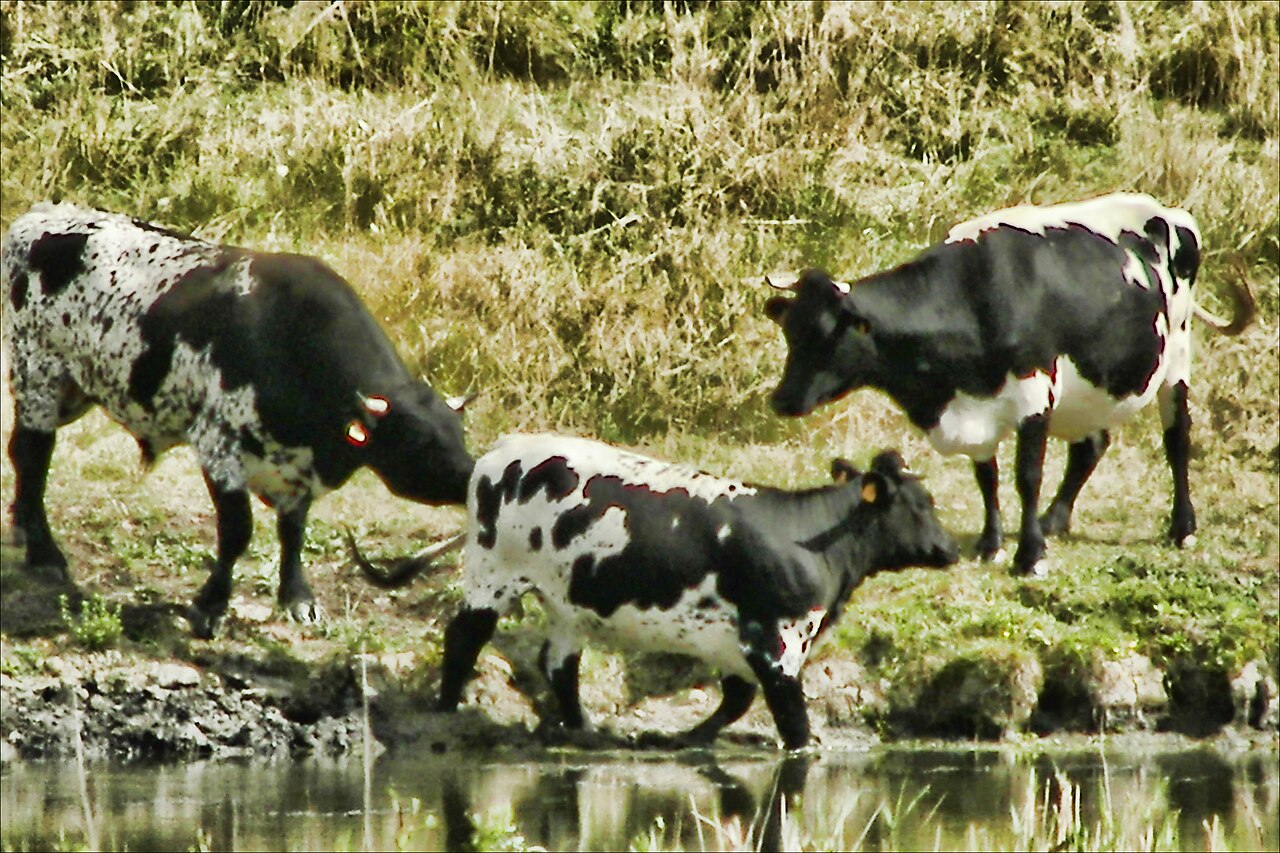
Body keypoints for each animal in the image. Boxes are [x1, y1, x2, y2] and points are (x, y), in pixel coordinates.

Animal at [2, 202, 475, 638]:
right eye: (417, 445)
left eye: (459, 433)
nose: (472, 476)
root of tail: (36, 218)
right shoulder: (220, 448)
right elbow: (237, 531)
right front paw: (209, 606)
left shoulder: (297, 473)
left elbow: (293, 531)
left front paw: (298, 599)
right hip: (39, 372)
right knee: (34, 453)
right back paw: (44, 553)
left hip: (72, 390)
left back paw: (23, 527)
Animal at [352, 433, 958, 749]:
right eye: (920, 504)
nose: (952, 547)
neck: (813, 541)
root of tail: (498, 451)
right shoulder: (776, 641)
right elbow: (791, 719)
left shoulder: (740, 645)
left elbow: (734, 702)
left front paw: (684, 738)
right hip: (492, 573)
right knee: (465, 635)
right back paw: (447, 707)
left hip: (566, 602)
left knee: (558, 662)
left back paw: (580, 727)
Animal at [764, 192, 1255, 577]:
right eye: (790, 331)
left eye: (828, 336)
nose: (782, 399)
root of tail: (1166, 211)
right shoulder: (978, 404)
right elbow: (987, 477)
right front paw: (991, 543)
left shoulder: (1034, 393)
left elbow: (1026, 476)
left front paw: (1030, 556)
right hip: (1090, 386)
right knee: (1091, 446)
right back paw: (1056, 518)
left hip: (1177, 355)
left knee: (1177, 439)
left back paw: (1182, 527)